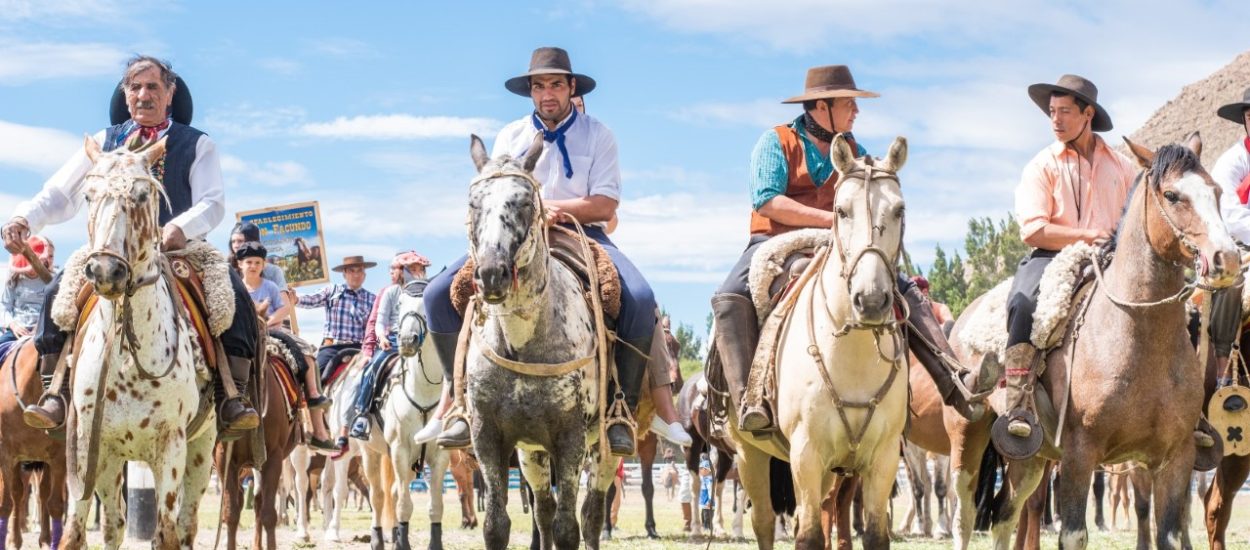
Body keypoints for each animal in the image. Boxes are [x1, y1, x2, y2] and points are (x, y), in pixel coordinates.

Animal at [60, 137, 217, 550]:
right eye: (88, 195)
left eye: (143, 195)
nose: (106, 270)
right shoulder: (86, 446)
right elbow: (73, 532)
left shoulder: (171, 445)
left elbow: (166, 533)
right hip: (113, 462)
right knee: (114, 524)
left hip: (202, 451)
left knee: (186, 524)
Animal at [360, 286, 452, 547]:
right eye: (399, 305)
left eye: (426, 308)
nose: (406, 341)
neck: (424, 388)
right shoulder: (400, 449)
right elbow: (403, 505)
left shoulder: (439, 455)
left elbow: (435, 506)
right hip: (370, 452)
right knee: (378, 495)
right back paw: (377, 539)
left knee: (391, 493)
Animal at [730, 134, 910, 550]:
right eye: (840, 211)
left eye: (899, 210)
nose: (871, 300)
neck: (853, 353)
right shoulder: (806, 454)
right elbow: (809, 535)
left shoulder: (882, 458)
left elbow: (874, 534)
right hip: (749, 453)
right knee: (765, 522)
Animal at [945, 134, 1240, 550]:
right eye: (1171, 195)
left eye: (1215, 191)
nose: (1226, 258)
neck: (1139, 339)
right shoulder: (1080, 453)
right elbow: (1073, 533)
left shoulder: (1176, 458)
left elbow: (1167, 532)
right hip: (967, 438)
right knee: (966, 515)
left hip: (1029, 458)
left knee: (1005, 515)